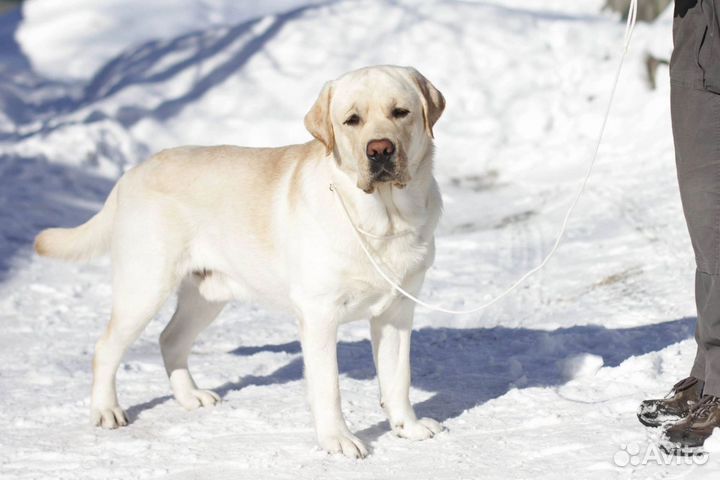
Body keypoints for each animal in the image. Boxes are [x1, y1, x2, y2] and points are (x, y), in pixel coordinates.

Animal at [38, 64, 450, 458]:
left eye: (400, 112)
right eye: (352, 120)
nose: (379, 150)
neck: (384, 219)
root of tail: (130, 174)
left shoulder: (396, 313)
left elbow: (397, 378)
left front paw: (408, 427)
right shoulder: (319, 314)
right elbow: (328, 387)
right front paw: (338, 441)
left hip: (207, 296)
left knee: (170, 339)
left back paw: (190, 396)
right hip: (143, 287)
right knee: (106, 348)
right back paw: (106, 410)